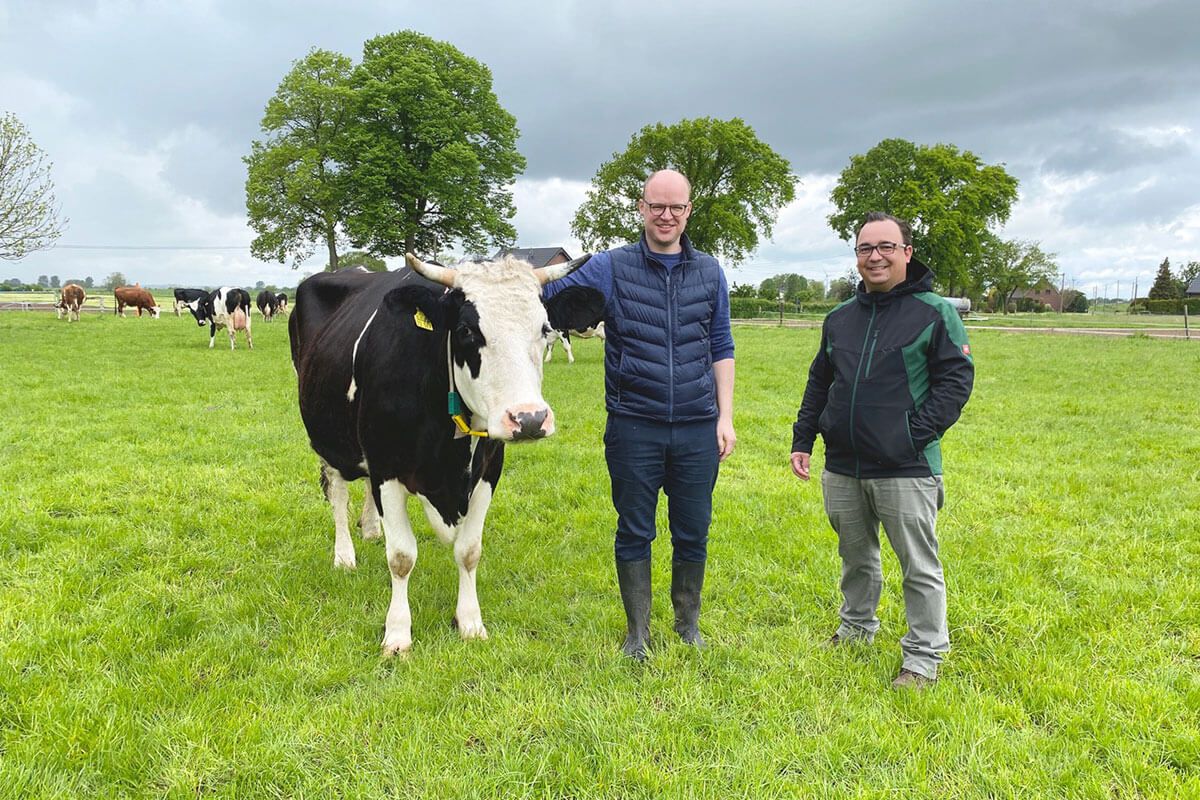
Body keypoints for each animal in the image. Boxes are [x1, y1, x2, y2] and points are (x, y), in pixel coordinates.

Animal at [289, 253, 604, 652]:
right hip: (326, 438)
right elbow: (401, 557)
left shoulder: (487, 469)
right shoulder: (387, 467)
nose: (530, 418)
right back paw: (344, 555)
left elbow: (468, 551)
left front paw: (470, 622)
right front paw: (397, 633)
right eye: (468, 331)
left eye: (545, 328)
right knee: (337, 493)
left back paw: (372, 528)